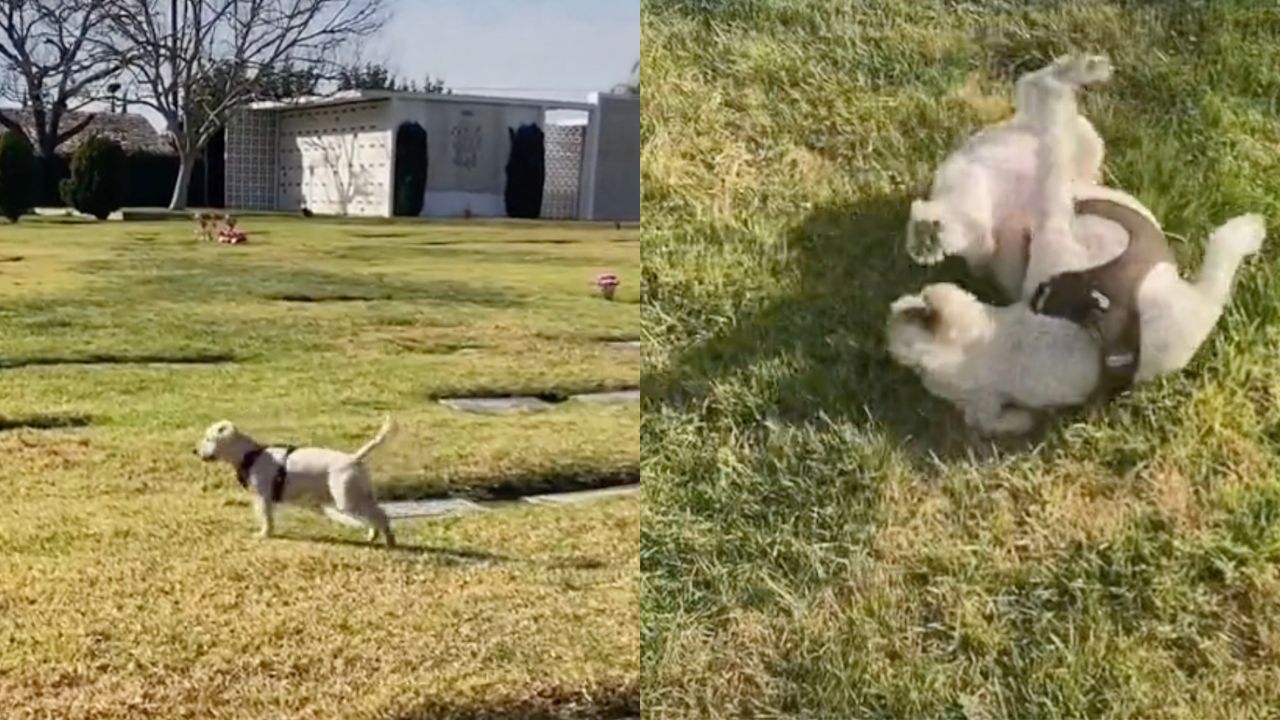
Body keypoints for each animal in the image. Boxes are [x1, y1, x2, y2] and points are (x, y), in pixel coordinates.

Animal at [192, 415, 394, 543]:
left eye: (208, 438)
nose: (194, 451)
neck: (250, 455)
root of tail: (354, 458)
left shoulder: (264, 497)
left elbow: (266, 518)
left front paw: (264, 534)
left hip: (346, 499)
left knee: (379, 516)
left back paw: (389, 539)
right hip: (360, 494)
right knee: (376, 514)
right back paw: (374, 535)